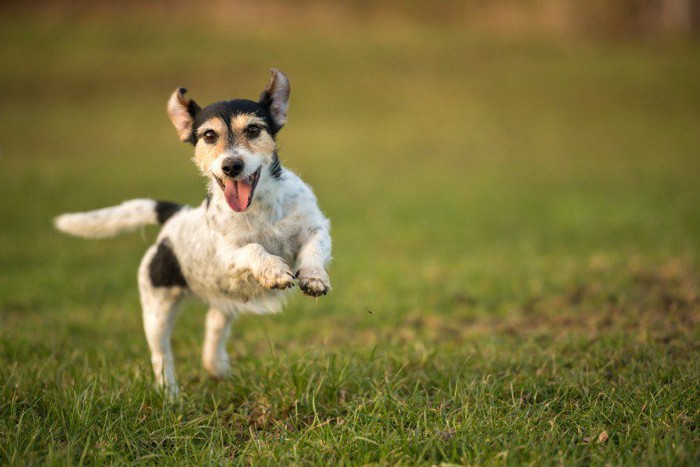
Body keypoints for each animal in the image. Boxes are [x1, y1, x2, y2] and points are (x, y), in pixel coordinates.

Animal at [53, 68, 332, 394]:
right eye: (209, 135)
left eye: (253, 130)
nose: (231, 165)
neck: (259, 208)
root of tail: (175, 216)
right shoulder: (227, 256)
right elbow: (254, 249)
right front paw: (274, 271)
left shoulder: (316, 227)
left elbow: (313, 248)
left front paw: (314, 278)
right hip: (156, 312)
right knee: (161, 355)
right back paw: (170, 394)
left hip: (224, 302)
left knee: (213, 325)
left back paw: (217, 368)